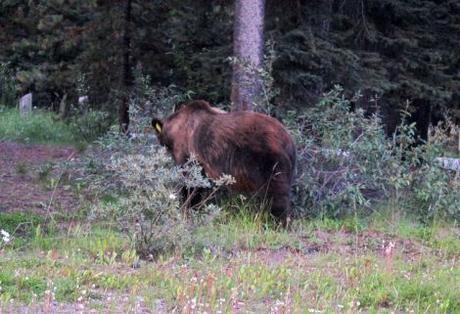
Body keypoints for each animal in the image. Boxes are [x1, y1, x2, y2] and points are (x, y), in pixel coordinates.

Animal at [153, 100, 296, 221]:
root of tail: (288, 140)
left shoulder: (187, 152)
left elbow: (190, 182)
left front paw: (187, 208)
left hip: (268, 161)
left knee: (276, 194)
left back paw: (278, 222)